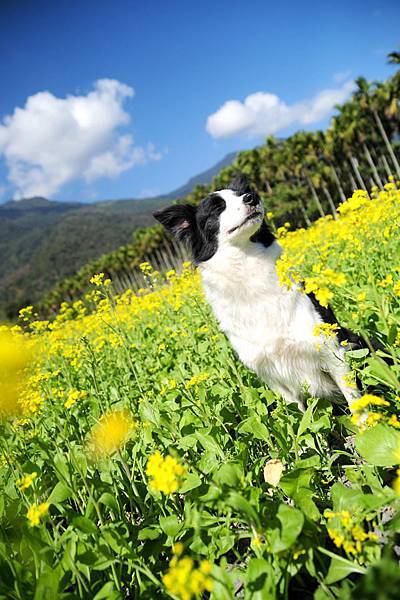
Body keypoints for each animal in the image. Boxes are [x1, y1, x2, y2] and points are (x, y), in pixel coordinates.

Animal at [155, 171, 360, 410]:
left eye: (242, 194)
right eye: (217, 209)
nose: (252, 197)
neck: (247, 265)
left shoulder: (332, 351)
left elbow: (357, 403)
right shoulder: (273, 376)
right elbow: (299, 413)